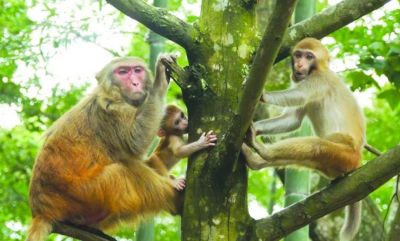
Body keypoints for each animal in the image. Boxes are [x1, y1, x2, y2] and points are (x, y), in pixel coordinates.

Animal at [25, 54, 180, 241]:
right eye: (123, 72)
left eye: (137, 70)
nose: (135, 82)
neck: (116, 94)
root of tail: (41, 211)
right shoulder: (112, 110)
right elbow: (135, 142)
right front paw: (160, 82)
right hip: (82, 194)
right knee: (123, 172)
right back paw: (175, 196)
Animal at [241, 37, 366, 241]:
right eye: (298, 55)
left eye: (309, 57)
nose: (300, 64)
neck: (319, 70)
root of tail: (357, 162)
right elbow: (293, 120)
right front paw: (255, 127)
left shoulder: (320, 81)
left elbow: (300, 96)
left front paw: (263, 95)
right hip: (330, 164)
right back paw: (255, 161)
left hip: (344, 152)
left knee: (316, 145)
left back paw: (265, 152)